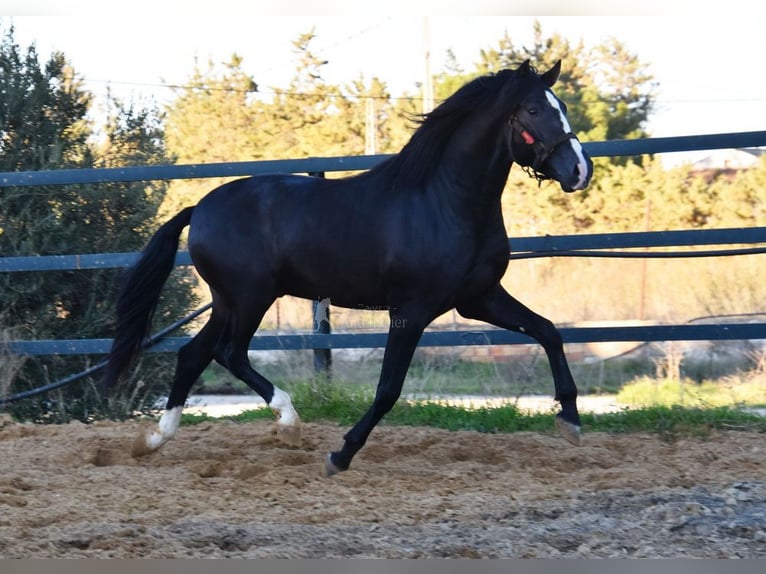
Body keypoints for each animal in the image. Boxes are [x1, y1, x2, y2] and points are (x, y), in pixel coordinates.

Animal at [102, 59, 592, 476]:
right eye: (533, 109)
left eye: (564, 107)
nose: (579, 170)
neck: (443, 202)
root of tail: (199, 208)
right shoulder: (411, 310)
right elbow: (388, 389)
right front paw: (340, 454)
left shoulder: (479, 298)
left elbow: (549, 331)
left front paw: (570, 420)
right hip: (251, 298)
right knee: (228, 353)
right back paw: (288, 422)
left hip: (228, 302)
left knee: (193, 355)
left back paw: (153, 440)